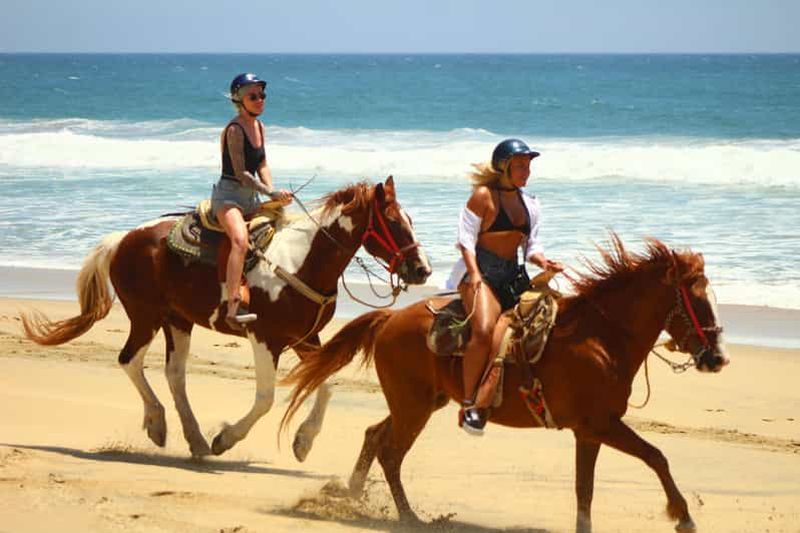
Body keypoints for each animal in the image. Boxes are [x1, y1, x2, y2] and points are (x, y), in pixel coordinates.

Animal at [21, 176, 432, 459]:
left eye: (410, 219)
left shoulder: (305, 338)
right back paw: (161, 424)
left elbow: (326, 383)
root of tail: (122, 238)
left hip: (177, 320)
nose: (422, 269)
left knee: (174, 375)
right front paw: (226, 438)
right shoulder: (266, 338)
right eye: (394, 222)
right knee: (130, 361)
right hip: (145, 316)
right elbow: (266, 398)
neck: (302, 260)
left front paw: (303, 441)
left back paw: (194, 439)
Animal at [281, 235, 729, 532]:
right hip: (413, 408)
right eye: (697, 299)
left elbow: (585, 489)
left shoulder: (589, 433)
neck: (601, 337)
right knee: (391, 453)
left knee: (375, 436)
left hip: (420, 403)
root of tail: (391, 318)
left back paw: (354, 495)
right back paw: (408, 516)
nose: (718, 358)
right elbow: (656, 457)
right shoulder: (601, 425)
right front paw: (683, 515)